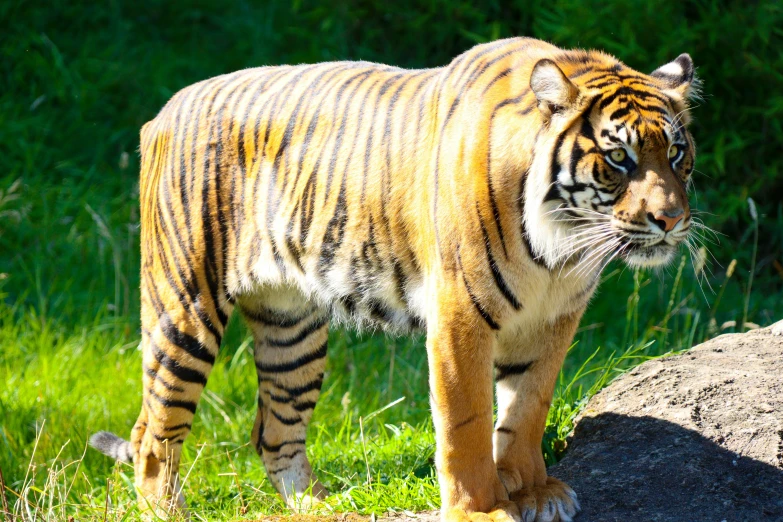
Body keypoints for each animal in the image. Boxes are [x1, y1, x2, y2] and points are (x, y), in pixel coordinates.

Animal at [90, 37, 700, 520]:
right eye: (618, 158)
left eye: (675, 152)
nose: (671, 220)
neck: (562, 245)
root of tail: (167, 108)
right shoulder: (460, 316)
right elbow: (467, 421)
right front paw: (481, 509)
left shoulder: (554, 319)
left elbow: (526, 410)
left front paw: (534, 492)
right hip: (184, 307)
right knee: (152, 432)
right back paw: (170, 511)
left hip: (292, 330)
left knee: (273, 433)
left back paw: (322, 508)